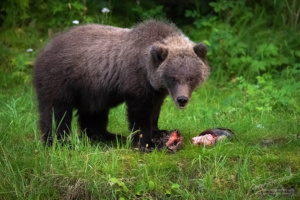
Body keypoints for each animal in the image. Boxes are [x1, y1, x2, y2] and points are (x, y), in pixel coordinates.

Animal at [34, 19, 210, 148]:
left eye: (191, 77)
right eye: (173, 77)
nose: (182, 99)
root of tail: (44, 48)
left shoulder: (156, 90)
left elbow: (154, 111)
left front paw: (158, 132)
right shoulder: (137, 81)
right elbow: (139, 113)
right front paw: (146, 143)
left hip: (91, 88)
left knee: (94, 112)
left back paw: (106, 136)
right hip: (61, 79)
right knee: (57, 111)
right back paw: (60, 142)